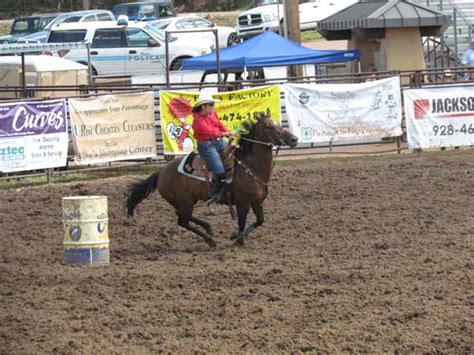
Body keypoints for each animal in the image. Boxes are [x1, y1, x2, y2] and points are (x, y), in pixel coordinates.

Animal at [125, 111, 296, 248]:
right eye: (269, 126)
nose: (294, 139)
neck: (248, 166)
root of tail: (161, 172)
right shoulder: (243, 203)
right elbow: (241, 222)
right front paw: (239, 240)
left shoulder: (257, 202)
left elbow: (260, 221)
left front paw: (235, 236)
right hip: (185, 201)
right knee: (182, 221)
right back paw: (210, 239)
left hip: (186, 201)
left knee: (183, 217)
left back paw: (208, 228)